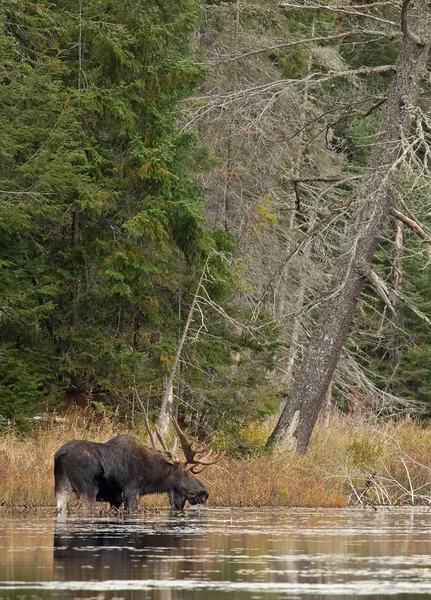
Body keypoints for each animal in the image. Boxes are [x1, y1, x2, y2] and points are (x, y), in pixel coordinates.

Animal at [53, 420, 223, 512]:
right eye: (187, 473)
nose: (204, 493)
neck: (151, 477)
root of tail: (61, 454)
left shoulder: (115, 499)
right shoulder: (132, 492)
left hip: (61, 487)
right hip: (87, 490)